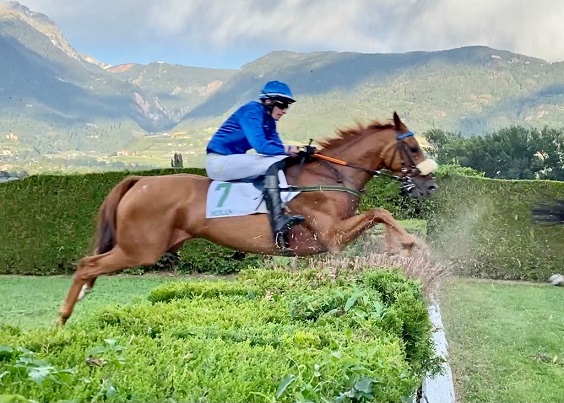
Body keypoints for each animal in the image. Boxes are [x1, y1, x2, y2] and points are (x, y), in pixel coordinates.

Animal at [58, 112, 436, 326]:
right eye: (413, 148)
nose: (430, 185)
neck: (330, 176)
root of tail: (140, 180)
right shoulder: (332, 235)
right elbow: (380, 212)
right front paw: (408, 243)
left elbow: (377, 216)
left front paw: (404, 246)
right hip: (141, 249)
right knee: (87, 265)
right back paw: (61, 321)